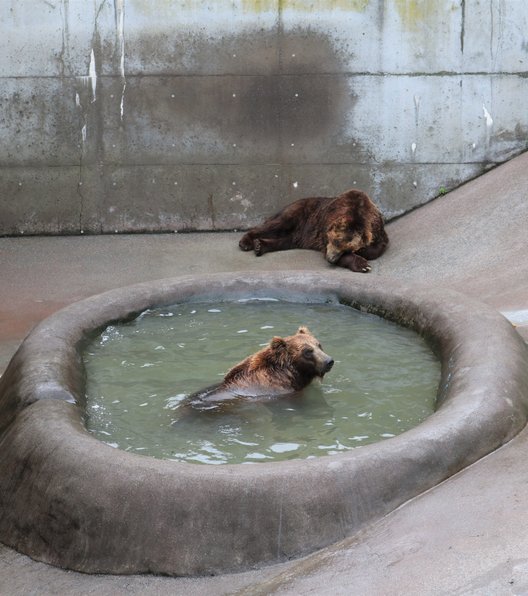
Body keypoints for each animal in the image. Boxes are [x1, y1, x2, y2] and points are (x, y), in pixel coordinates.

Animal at [239, 189, 388, 272]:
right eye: (335, 241)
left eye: (347, 248)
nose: (331, 259)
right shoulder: (325, 230)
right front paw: (363, 265)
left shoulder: (377, 229)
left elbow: (378, 247)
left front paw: (362, 252)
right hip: (298, 214)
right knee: (276, 226)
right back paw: (246, 242)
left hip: (300, 234)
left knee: (285, 241)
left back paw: (260, 246)